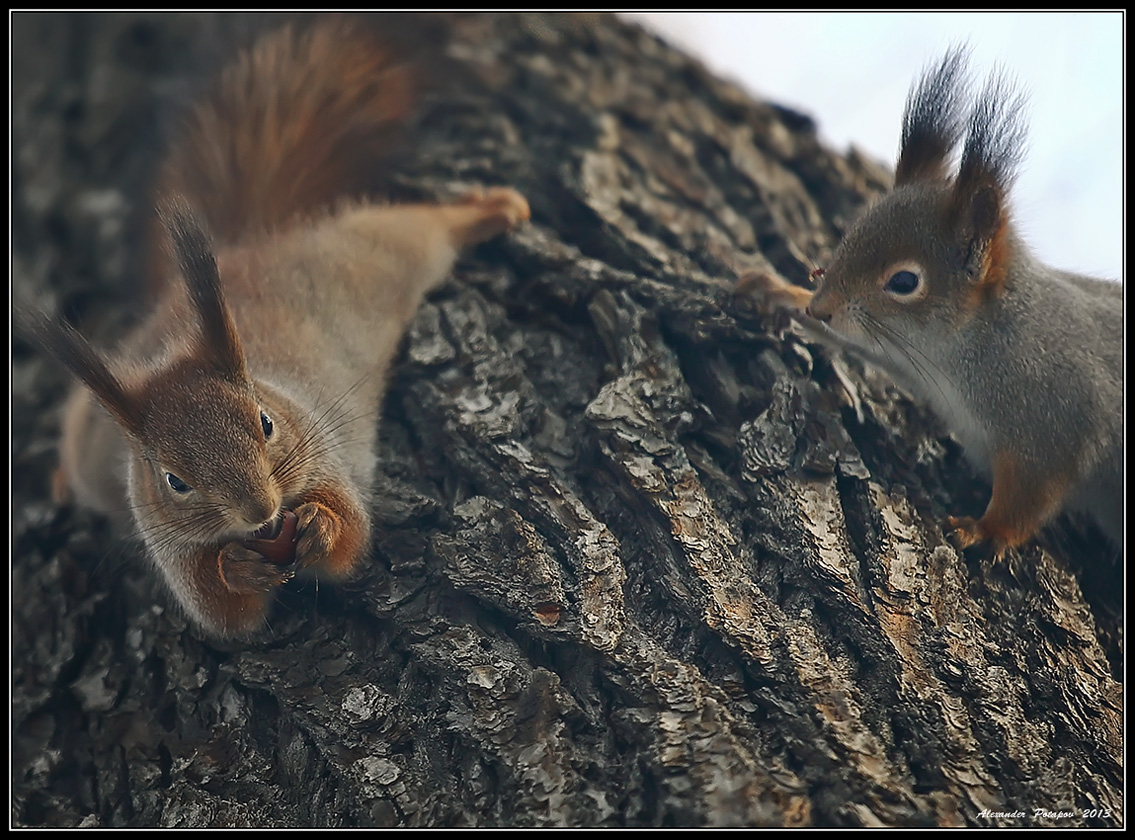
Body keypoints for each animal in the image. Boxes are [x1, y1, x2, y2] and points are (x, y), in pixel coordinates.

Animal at [23, 16, 531, 635]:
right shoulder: (168, 541)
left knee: (419, 227)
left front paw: (320, 526)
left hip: (368, 256)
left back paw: (491, 209)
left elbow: (352, 536)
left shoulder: (323, 455)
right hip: (95, 446)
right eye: (174, 482)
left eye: (265, 423)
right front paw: (235, 570)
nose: (261, 512)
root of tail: (241, 251)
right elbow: (222, 613)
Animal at [740, 49, 1121, 553]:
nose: (820, 308)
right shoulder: (910, 359)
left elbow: (1028, 498)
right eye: (852, 232)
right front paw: (781, 291)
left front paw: (983, 529)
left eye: (904, 281)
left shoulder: (1058, 423)